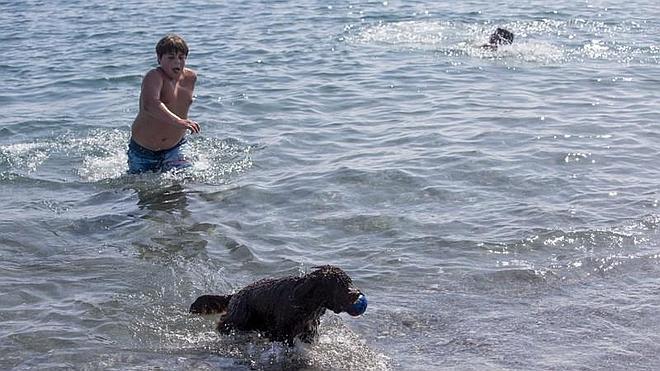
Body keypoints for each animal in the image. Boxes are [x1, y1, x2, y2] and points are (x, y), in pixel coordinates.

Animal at [189, 266, 366, 344]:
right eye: (340, 285)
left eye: (349, 282)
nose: (357, 293)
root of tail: (235, 294)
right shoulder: (283, 330)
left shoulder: (308, 328)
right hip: (240, 316)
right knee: (225, 322)